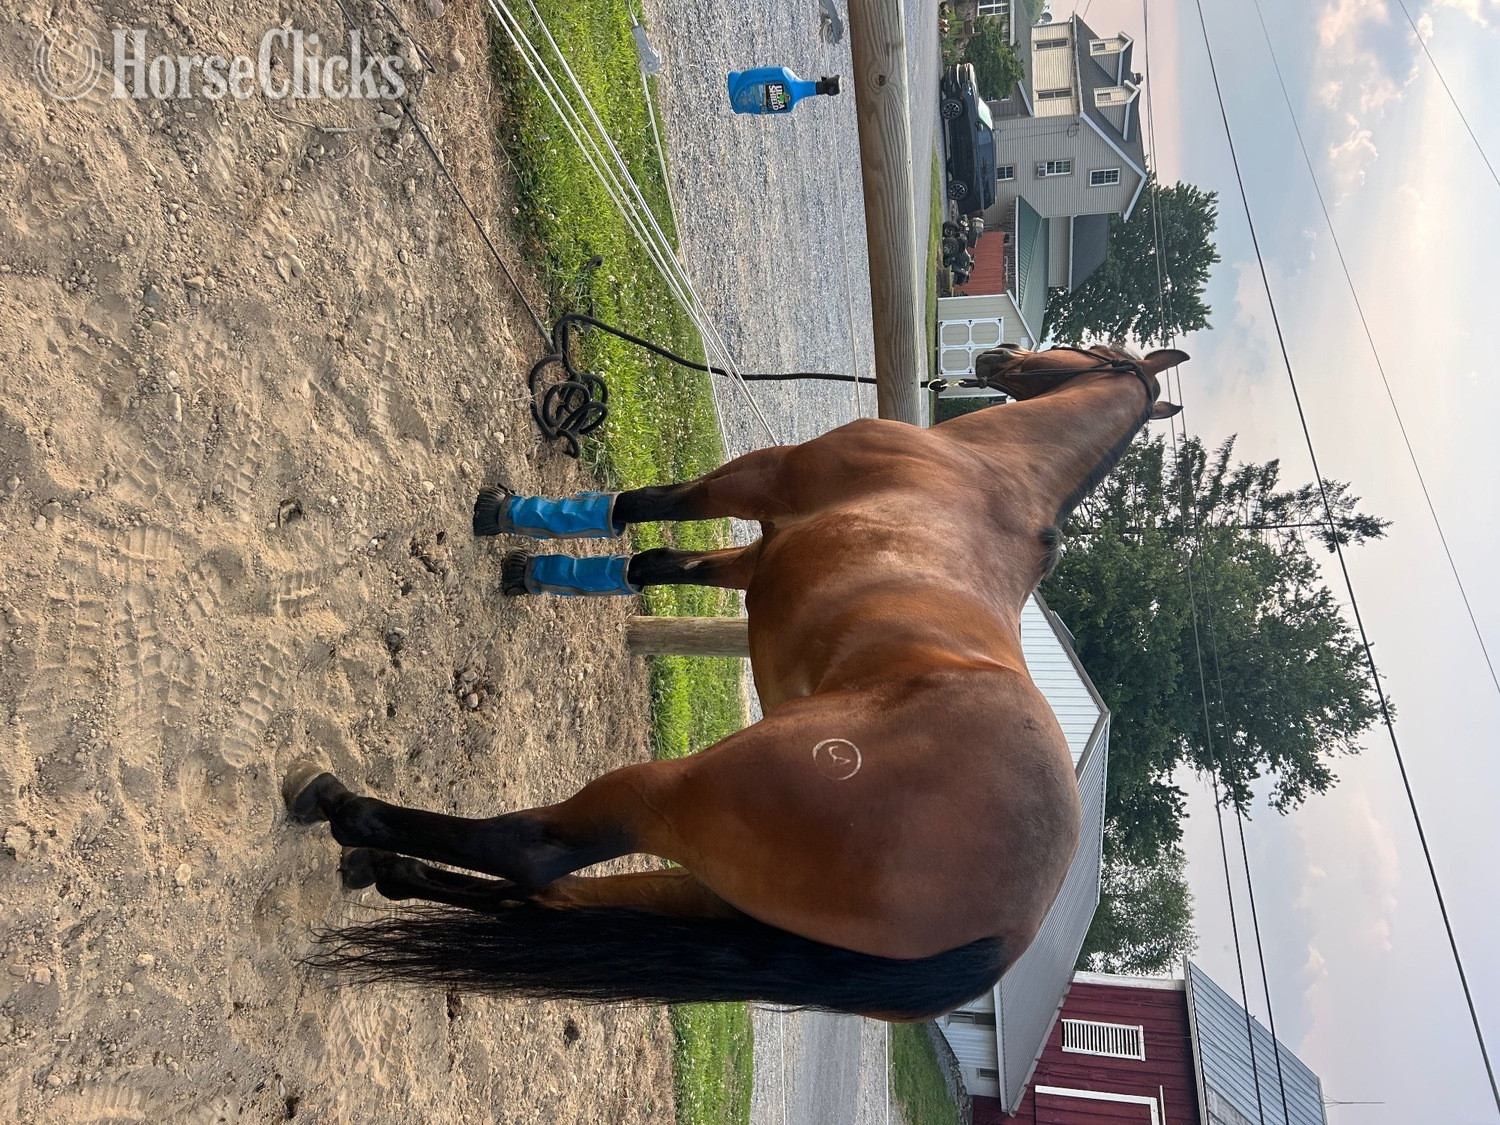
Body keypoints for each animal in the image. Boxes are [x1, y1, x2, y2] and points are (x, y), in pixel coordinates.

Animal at [282, 343, 1186, 1020]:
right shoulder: (757, 554)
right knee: (542, 897)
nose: (996, 355)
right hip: (714, 891)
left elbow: (649, 502)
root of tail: (1008, 930)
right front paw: (536, 564)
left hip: (676, 796)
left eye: (1085, 349)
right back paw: (387, 870)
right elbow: (655, 559)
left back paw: (347, 812)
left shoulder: (763, 475)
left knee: (532, 851)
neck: (984, 471)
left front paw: (516, 520)